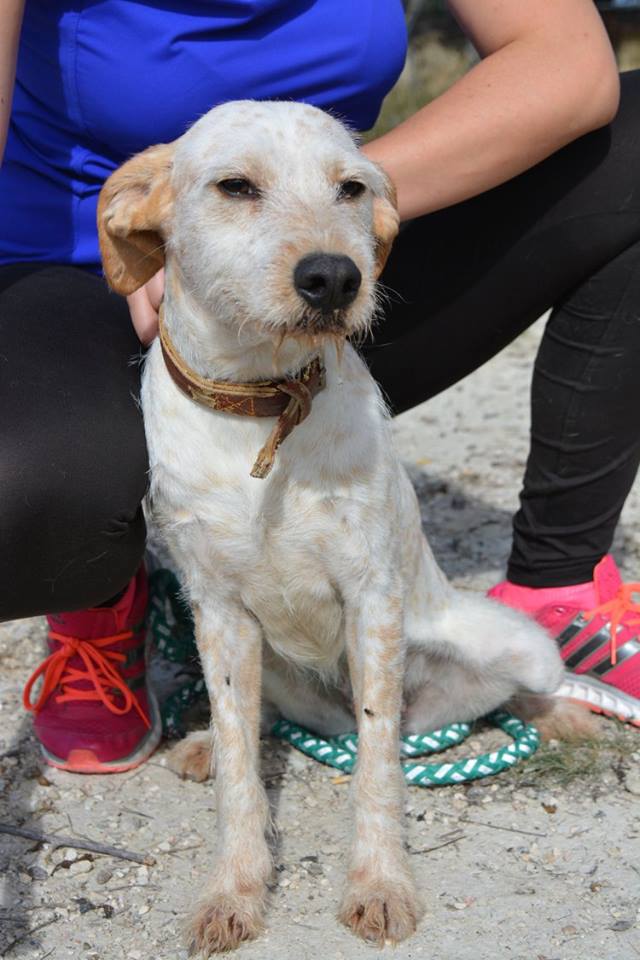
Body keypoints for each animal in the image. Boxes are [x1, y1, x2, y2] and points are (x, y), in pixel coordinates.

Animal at [97, 101, 564, 956]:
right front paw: (235, 889)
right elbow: (243, 775)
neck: (263, 407)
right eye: (235, 186)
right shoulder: (218, 612)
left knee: (496, 701)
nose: (335, 276)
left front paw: (379, 883)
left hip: (523, 649)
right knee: (264, 720)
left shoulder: (371, 600)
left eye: (351, 188)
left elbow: (378, 765)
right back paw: (209, 741)